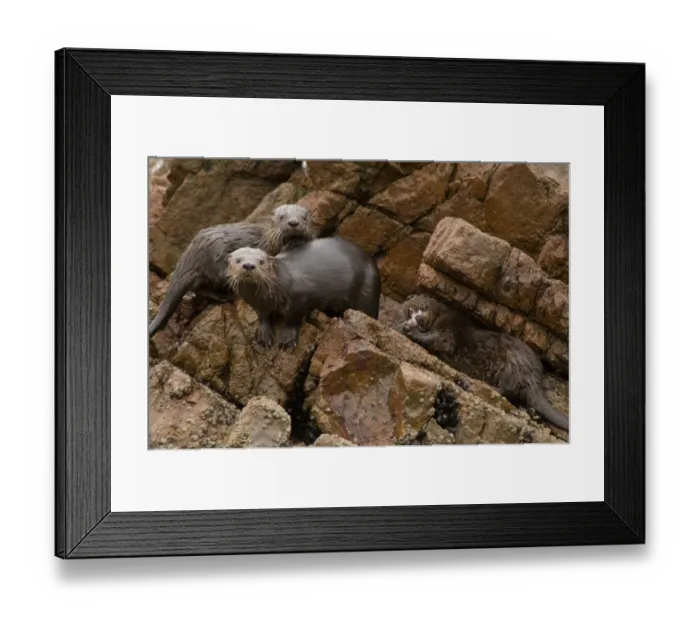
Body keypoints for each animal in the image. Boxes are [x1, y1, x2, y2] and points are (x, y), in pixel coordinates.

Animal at [148, 204, 315, 337]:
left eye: (304, 218)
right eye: (281, 217)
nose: (293, 223)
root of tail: (192, 253)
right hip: (217, 261)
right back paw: (224, 296)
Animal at [226, 238, 381, 348]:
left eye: (261, 261)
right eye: (238, 260)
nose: (248, 265)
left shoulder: (300, 295)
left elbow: (292, 317)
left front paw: (287, 338)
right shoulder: (256, 303)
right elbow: (263, 316)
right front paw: (264, 334)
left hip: (369, 292)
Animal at [396, 294, 569, 432]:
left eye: (423, 307)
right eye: (409, 311)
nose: (418, 318)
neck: (440, 316)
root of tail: (535, 374)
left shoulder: (449, 329)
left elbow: (438, 340)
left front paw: (411, 332)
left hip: (512, 365)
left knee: (510, 391)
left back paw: (472, 385)